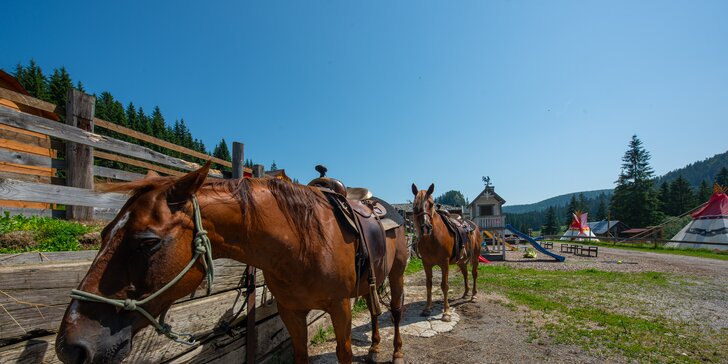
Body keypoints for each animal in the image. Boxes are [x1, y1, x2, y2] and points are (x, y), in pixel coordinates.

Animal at [55, 163, 410, 364]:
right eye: (103, 234)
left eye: (147, 242)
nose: (70, 347)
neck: (302, 242)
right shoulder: (291, 311)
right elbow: (300, 354)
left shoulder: (339, 307)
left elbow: (344, 352)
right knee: (374, 310)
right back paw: (375, 348)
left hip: (396, 273)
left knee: (393, 311)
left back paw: (395, 352)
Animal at [412, 185, 480, 322]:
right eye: (415, 206)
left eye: (431, 204)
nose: (426, 227)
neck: (432, 239)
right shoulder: (426, 263)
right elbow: (428, 284)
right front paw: (427, 308)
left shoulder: (445, 263)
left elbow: (445, 285)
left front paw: (446, 313)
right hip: (461, 261)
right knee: (465, 274)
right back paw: (465, 293)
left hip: (475, 258)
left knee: (474, 274)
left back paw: (473, 296)